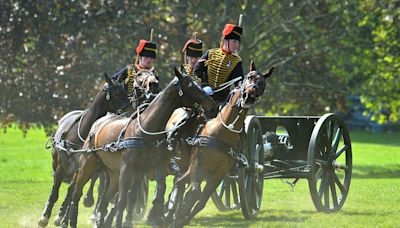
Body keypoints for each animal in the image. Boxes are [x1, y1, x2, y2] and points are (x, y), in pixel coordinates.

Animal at [38, 74, 131, 227]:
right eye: (117, 93)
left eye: (126, 92)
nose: (130, 111)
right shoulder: (62, 167)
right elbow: (55, 191)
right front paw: (44, 217)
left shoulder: (85, 168)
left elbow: (72, 191)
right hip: (57, 163)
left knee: (72, 190)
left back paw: (62, 216)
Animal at [63, 67, 219, 228]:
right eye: (191, 87)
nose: (214, 107)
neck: (143, 128)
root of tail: (98, 122)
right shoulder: (127, 170)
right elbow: (122, 200)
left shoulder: (146, 170)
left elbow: (142, 195)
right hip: (87, 167)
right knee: (76, 193)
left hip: (113, 174)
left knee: (104, 199)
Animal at [170, 60, 274, 226]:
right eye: (249, 77)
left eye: (262, 84)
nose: (249, 96)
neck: (222, 130)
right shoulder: (196, 164)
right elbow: (195, 192)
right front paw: (180, 214)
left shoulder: (218, 174)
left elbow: (200, 201)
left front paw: (182, 217)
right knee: (179, 181)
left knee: (181, 182)